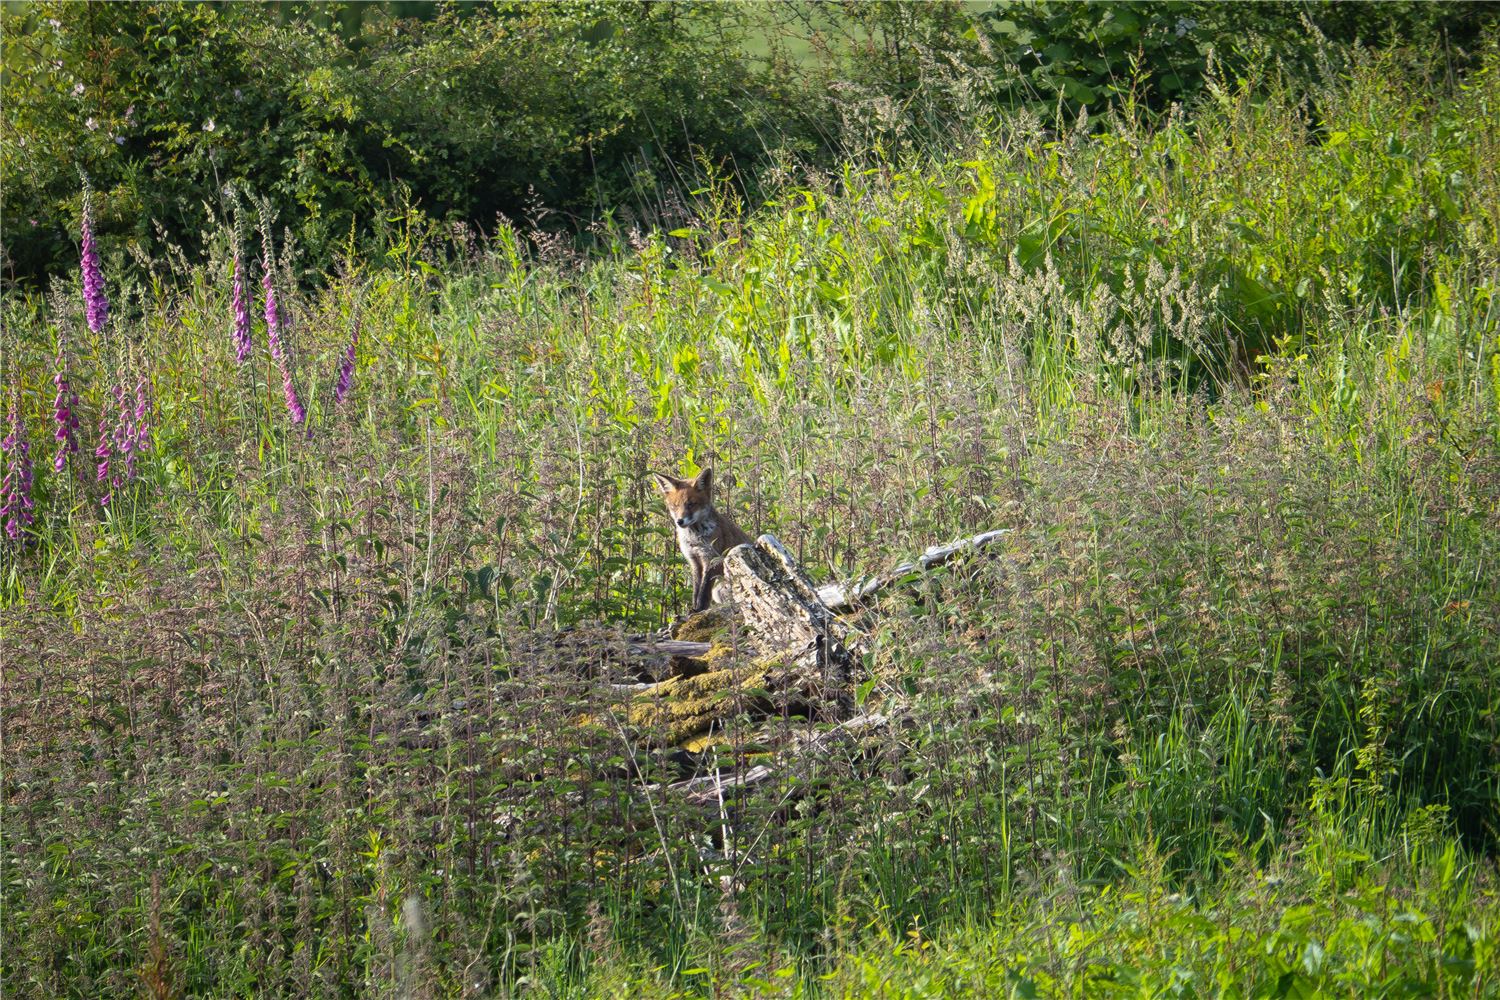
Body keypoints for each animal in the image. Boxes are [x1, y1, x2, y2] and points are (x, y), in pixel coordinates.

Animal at [652, 467, 754, 612]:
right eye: (675, 506)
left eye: (691, 504)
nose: (679, 521)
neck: (694, 539)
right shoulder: (694, 561)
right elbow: (696, 590)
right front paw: (694, 608)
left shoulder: (711, 560)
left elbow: (704, 590)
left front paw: (699, 609)